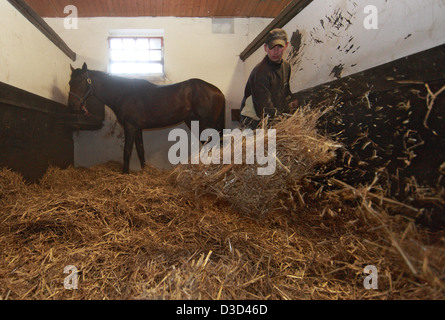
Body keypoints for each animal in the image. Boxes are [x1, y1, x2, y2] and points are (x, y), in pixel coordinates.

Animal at [69, 61, 225, 174]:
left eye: (81, 81)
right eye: (70, 82)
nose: (73, 104)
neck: (123, 93)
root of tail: (217, 91)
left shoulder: (130, 127)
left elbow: (127, 151)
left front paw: (124, 173)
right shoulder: (137, 128)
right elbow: (140, 150)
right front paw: (144, 170)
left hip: (205, 124)